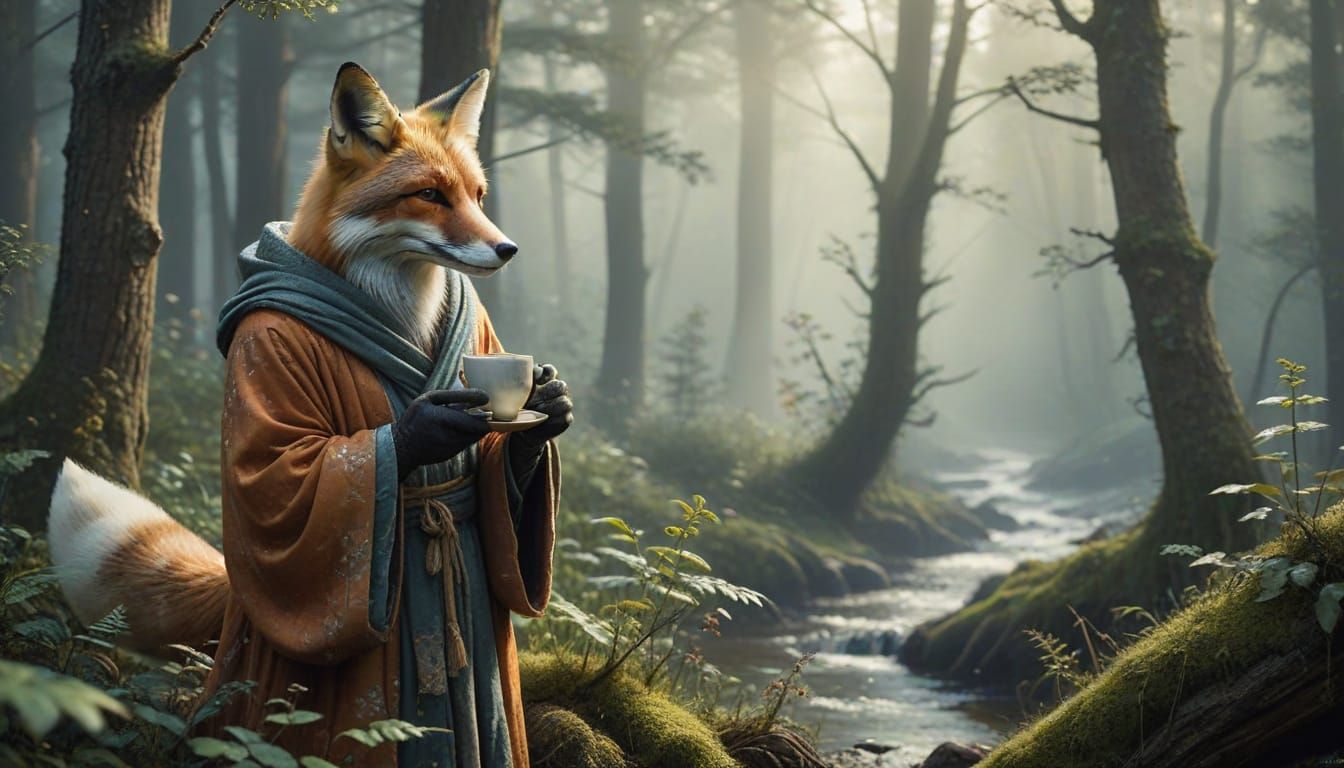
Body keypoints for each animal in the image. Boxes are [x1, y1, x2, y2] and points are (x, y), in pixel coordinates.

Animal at [48, 62, 521, 653]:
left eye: (477, 196)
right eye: (430, 194)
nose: (508, 249)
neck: (400, 313)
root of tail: (238, 592)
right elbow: (288, 469)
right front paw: (427, 427)